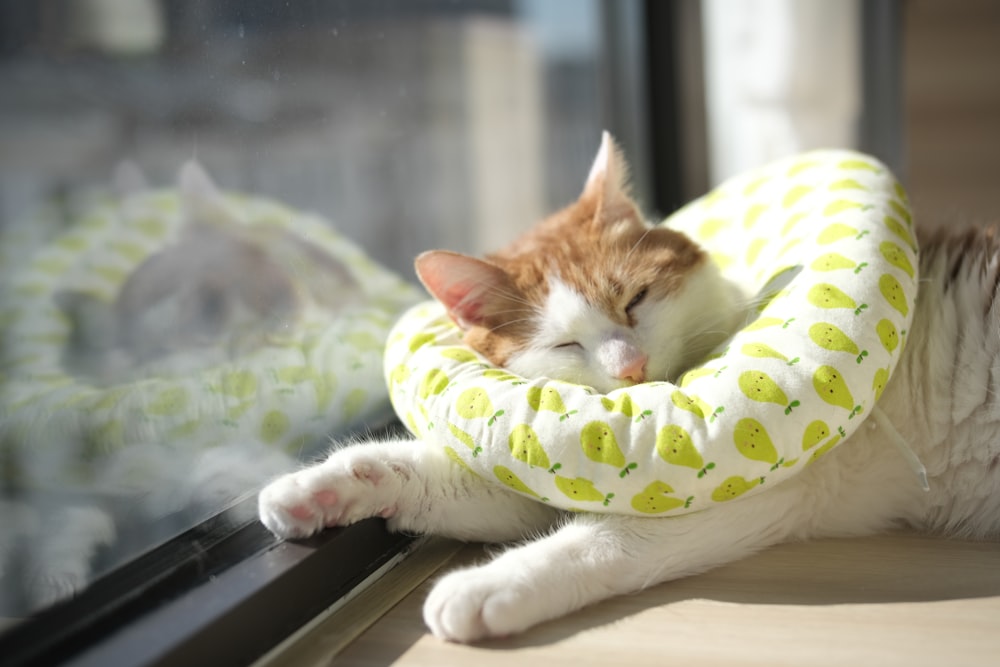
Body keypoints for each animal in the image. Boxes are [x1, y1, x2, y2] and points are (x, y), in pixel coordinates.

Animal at [258, 134, 1000, 640]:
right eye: (564, 344)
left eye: (636, 299)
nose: (630, 369)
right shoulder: (552, 474)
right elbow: (432, 476)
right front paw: (315, 489)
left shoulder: (771, 494)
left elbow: (601, 540)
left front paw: (487, 586)